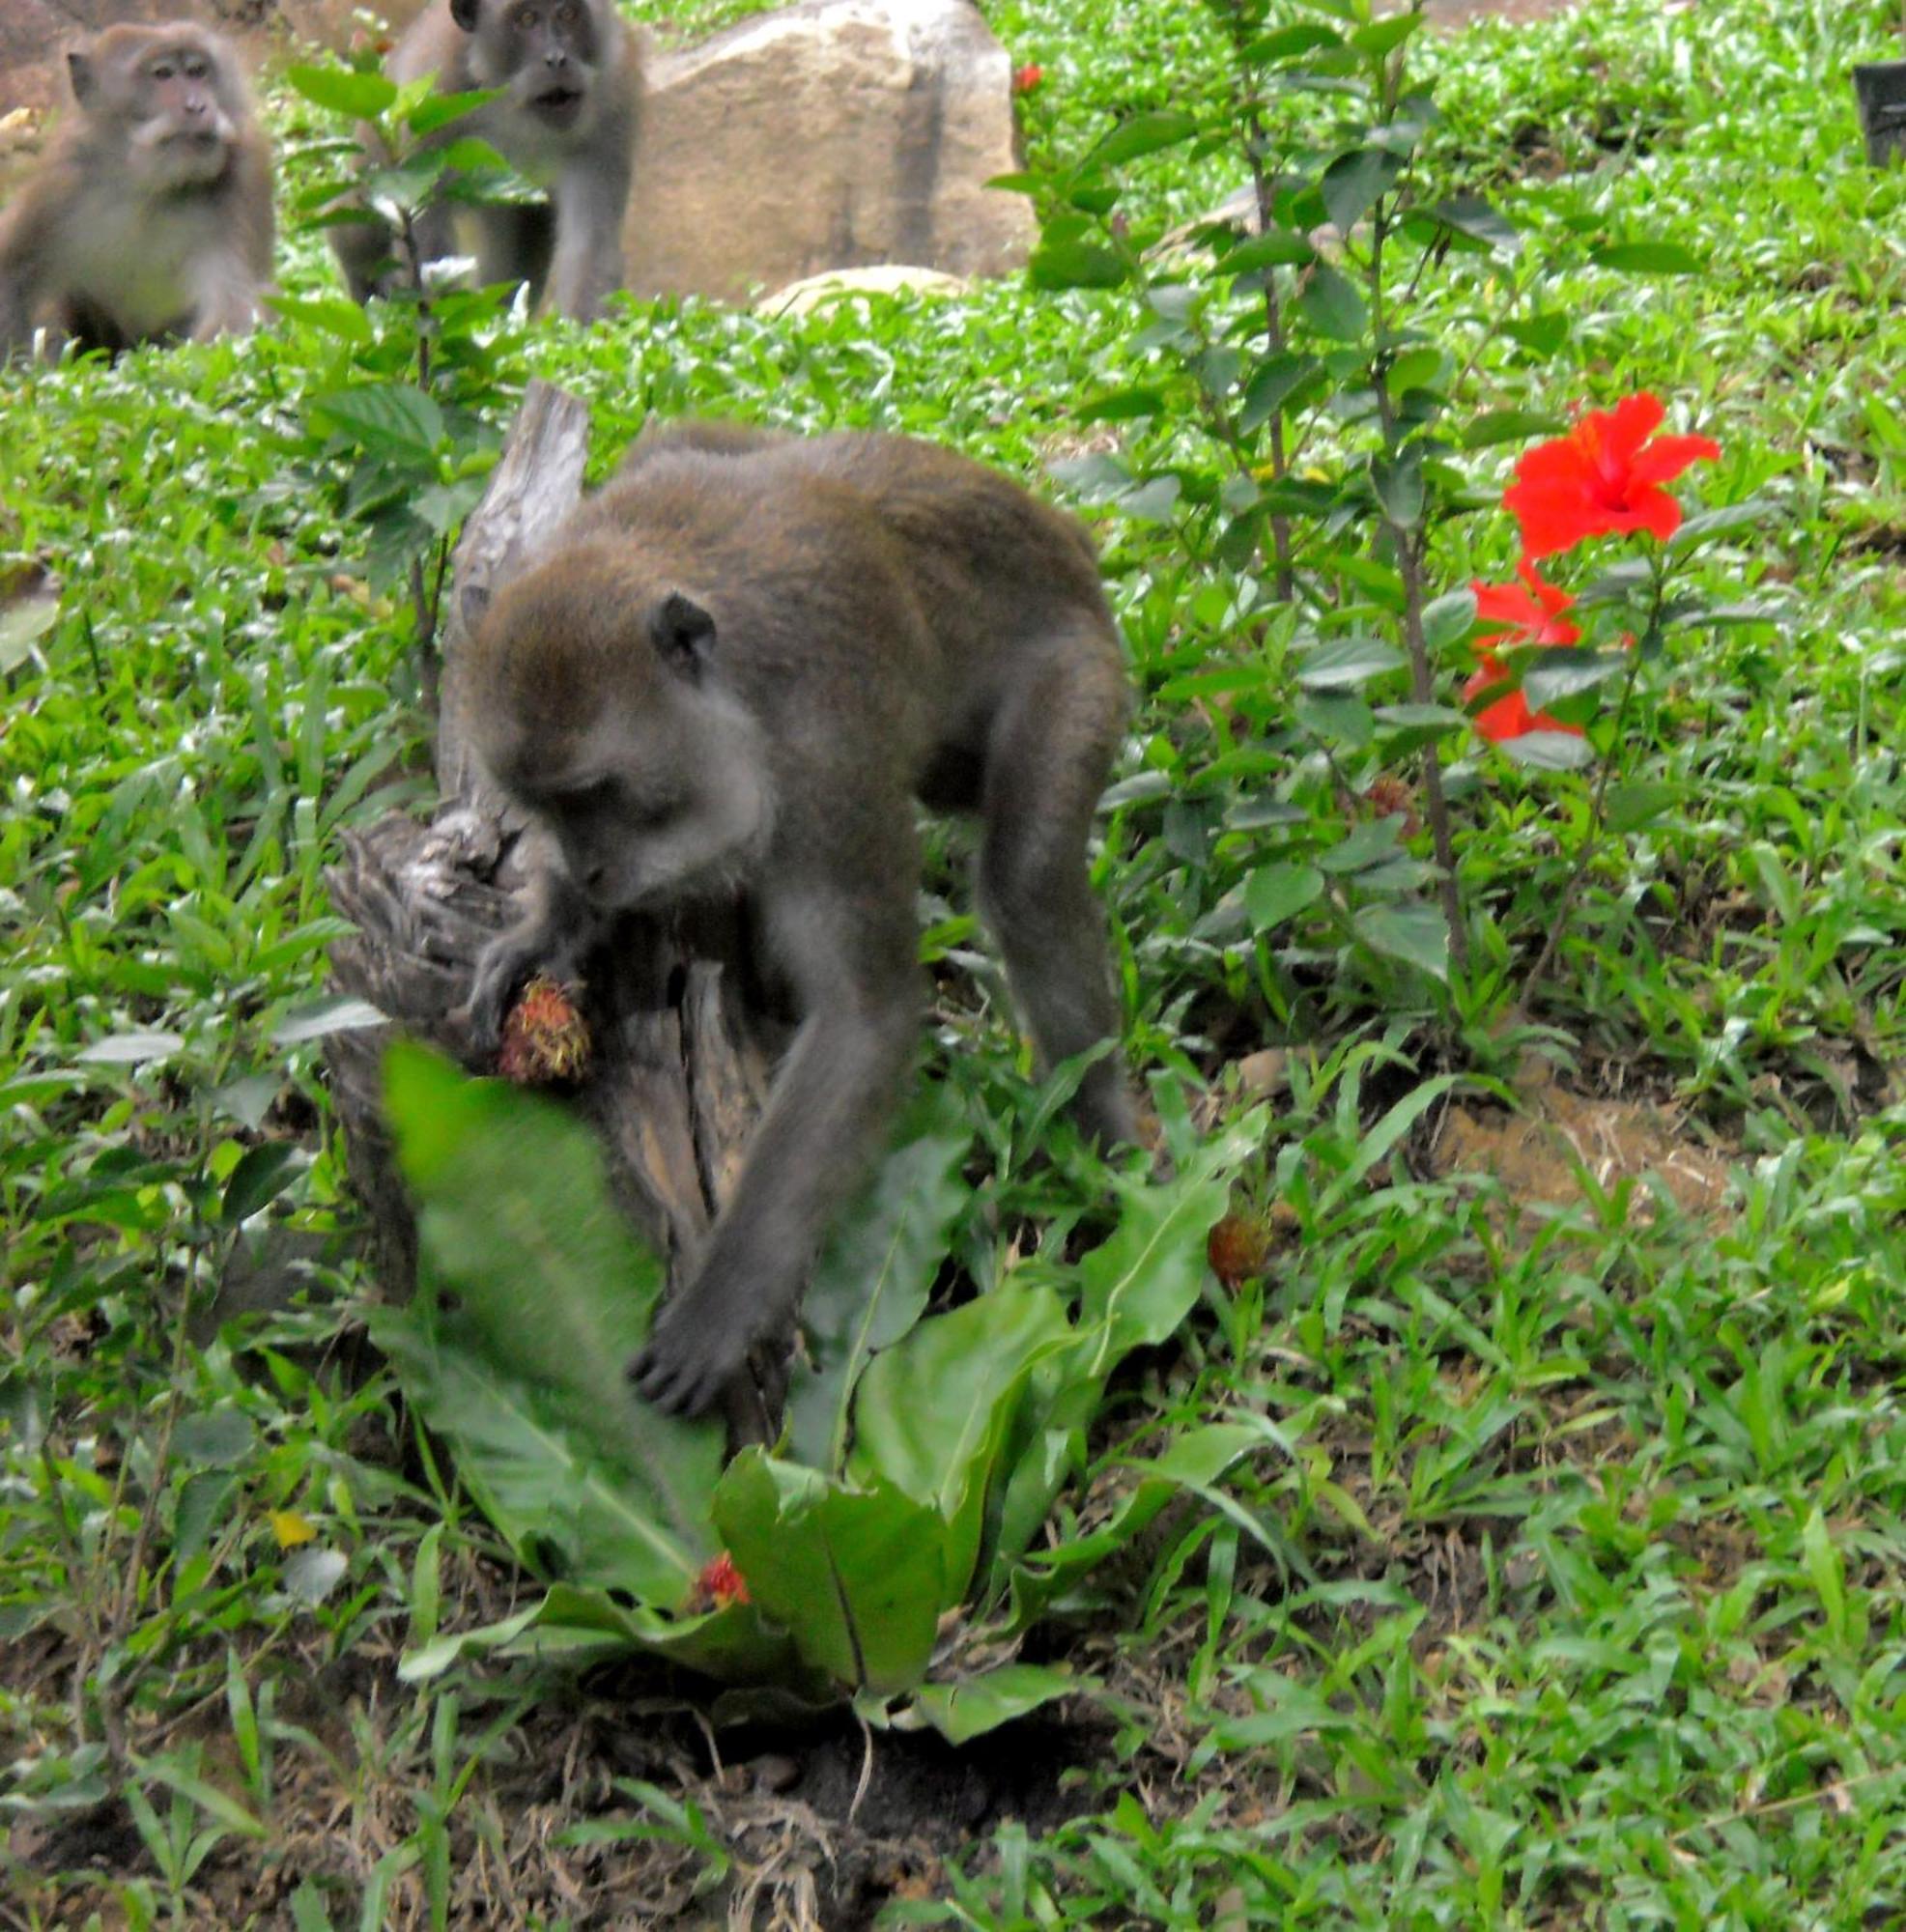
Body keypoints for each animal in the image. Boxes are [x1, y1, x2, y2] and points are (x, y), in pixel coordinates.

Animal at [0, 20, 274, 359]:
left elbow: (235, 307)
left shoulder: (245, 172)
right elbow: (12, 274)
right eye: (163, 74)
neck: (151, 185)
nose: (197, 105)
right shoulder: (62, 180)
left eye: (198, 71)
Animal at [334, 0, 638, 323]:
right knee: (356, 230)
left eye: (568, 14)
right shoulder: (433, 99)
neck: (513, 109)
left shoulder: (612, 101)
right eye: (526, 18)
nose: (556, 59)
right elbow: (428, 241)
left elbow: (590, 245)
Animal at [456, 427, 1144, 1422]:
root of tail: (1061, 534)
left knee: (1025, 879)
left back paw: (1106, 1150)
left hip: (1079, 665)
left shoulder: (828, 762)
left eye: (597, 795)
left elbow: (865, 1018)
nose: (588, 871)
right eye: (546, 806)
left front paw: (723, 1301)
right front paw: (546, 928)